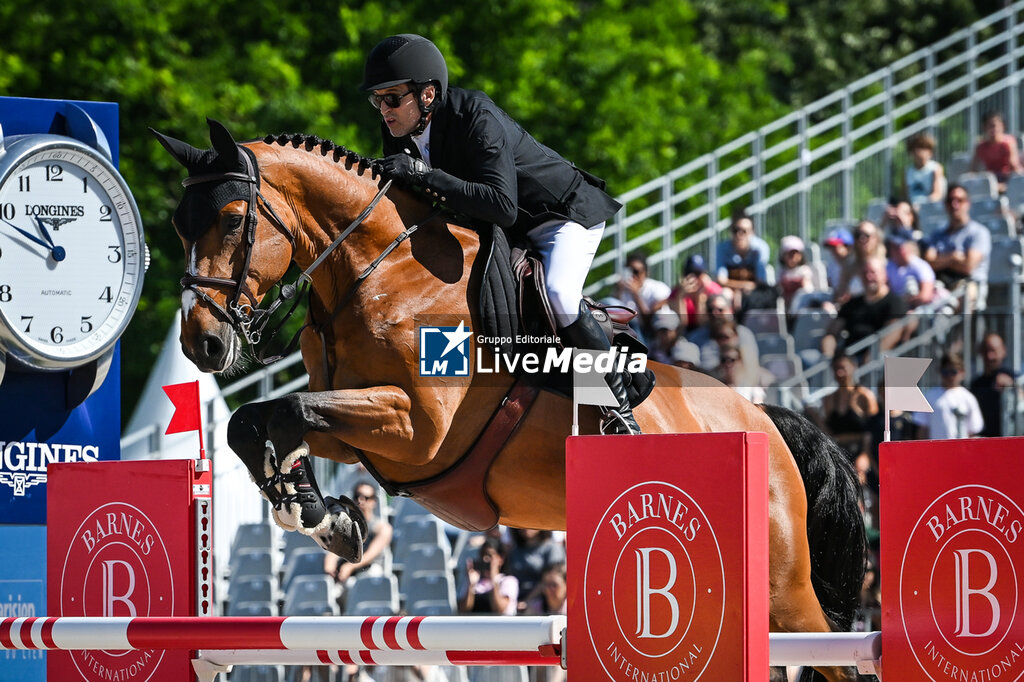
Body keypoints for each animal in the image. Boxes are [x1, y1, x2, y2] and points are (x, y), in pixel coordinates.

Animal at [155, 119, 868, 675]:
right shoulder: (362, 431)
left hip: (784, 591)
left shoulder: (417, 430)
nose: (201, 345)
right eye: (177, 227)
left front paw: (317, 513)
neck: (380, 271)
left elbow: (290, 411)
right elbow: (259, 422)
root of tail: (765, 419)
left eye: (232, 220)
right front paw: (321, 514)